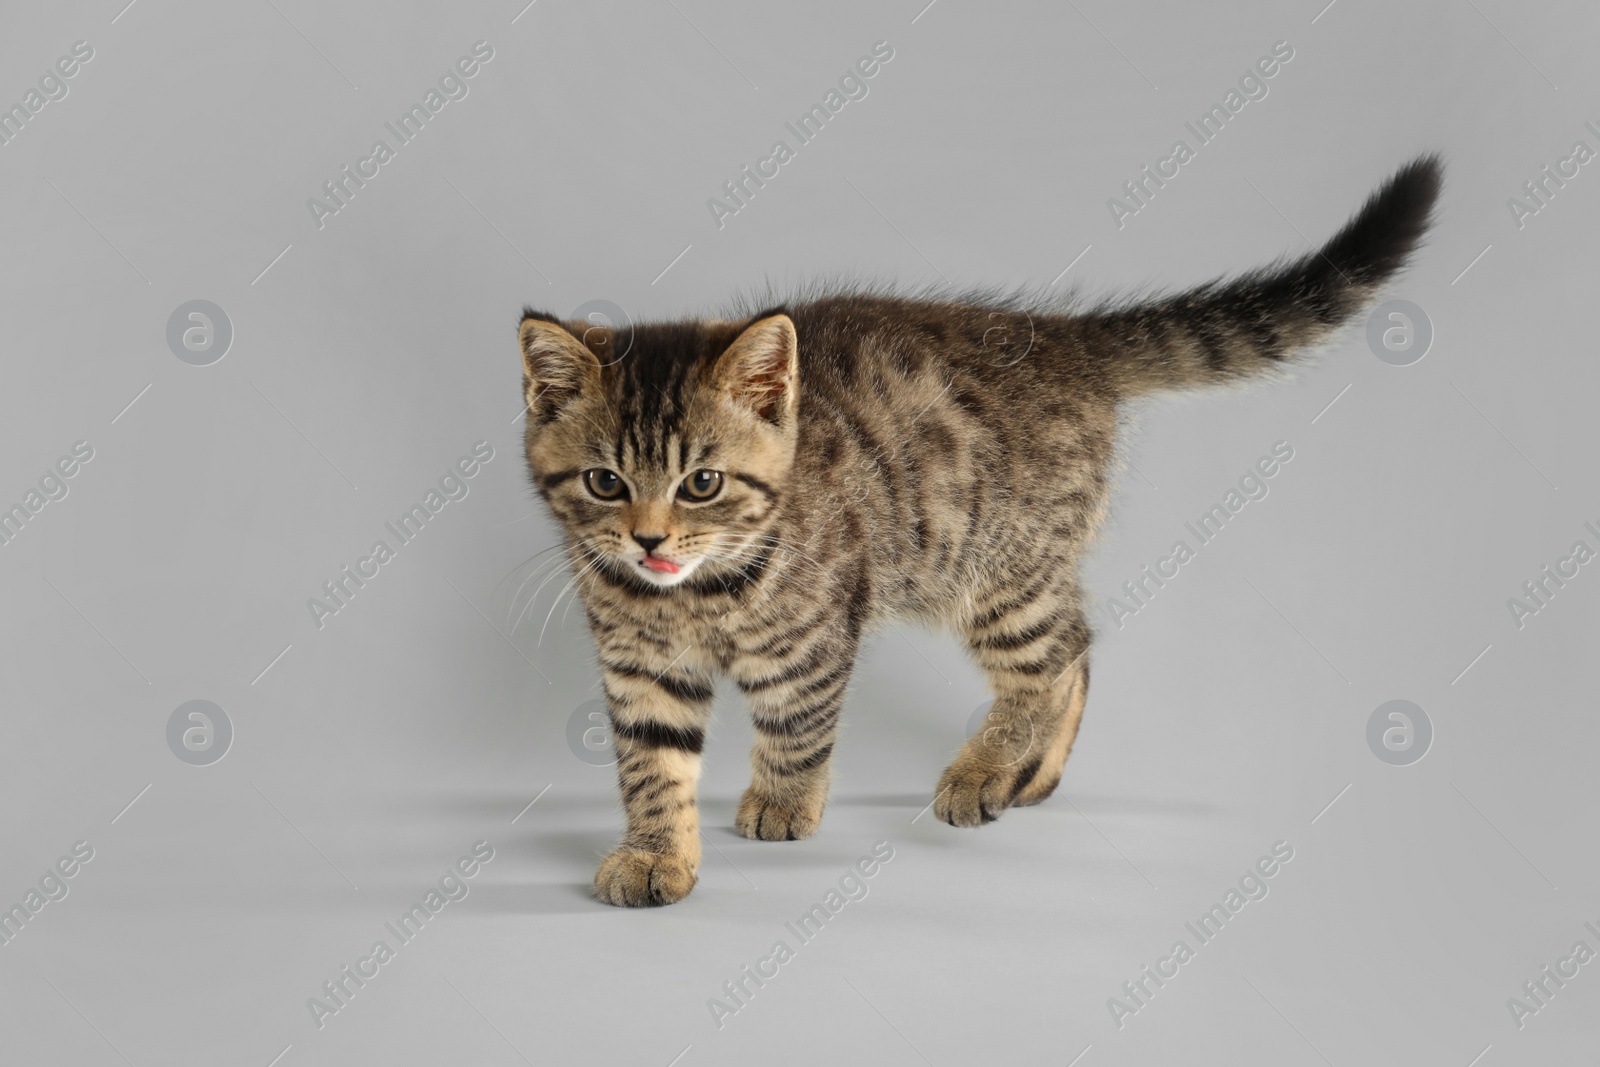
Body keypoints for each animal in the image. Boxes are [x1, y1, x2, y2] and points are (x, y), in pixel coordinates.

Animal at [518, 160, 1446, 908]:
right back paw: (1033, 773)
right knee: (1078, 648)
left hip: (992, 567)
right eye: (606, 483)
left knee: (1057, 651)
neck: (698, 592)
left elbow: (795, 724)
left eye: (701, 483)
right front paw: (654, 853)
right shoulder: (640, 665)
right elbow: (651, 764)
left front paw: (783, 802)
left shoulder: (812, 638)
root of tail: (1067, 338)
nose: (648, 541)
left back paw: (990, 767)